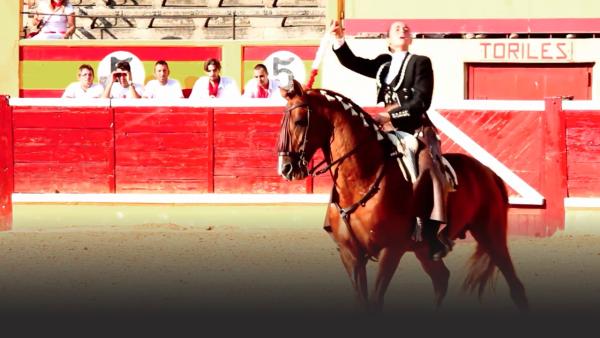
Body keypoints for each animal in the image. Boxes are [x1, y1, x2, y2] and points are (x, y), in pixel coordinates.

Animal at [274, 80, 528, 312]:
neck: (362, 180)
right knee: (441, 279)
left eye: (299, 121)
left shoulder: (390, 251)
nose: (286, 168)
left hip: (491, 233)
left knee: (516, 287)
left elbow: (376, 302)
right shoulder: (350, 255)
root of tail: (488, 172)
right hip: (426, 249)